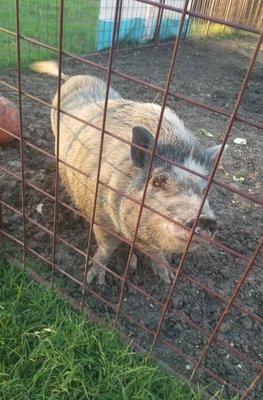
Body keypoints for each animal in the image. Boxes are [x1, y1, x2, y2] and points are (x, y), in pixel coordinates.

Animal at [32, 61, 220, 286]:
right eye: (159, 181)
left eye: (205, 190)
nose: (206, 219)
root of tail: (73, 77)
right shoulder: (99, 213)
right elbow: (106, 247)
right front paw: (94, 280)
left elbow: (155, 252)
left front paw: (167, 278)